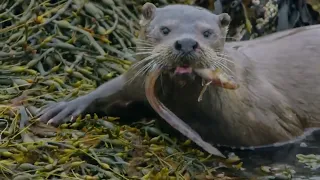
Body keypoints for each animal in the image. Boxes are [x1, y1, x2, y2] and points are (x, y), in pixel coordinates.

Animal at [37, 2, 320, 158]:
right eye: (165, 29)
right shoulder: (136, 81)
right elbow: (113, 89)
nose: (186, 43)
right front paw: (66, 107)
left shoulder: (274, 125)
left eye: (207, 33)